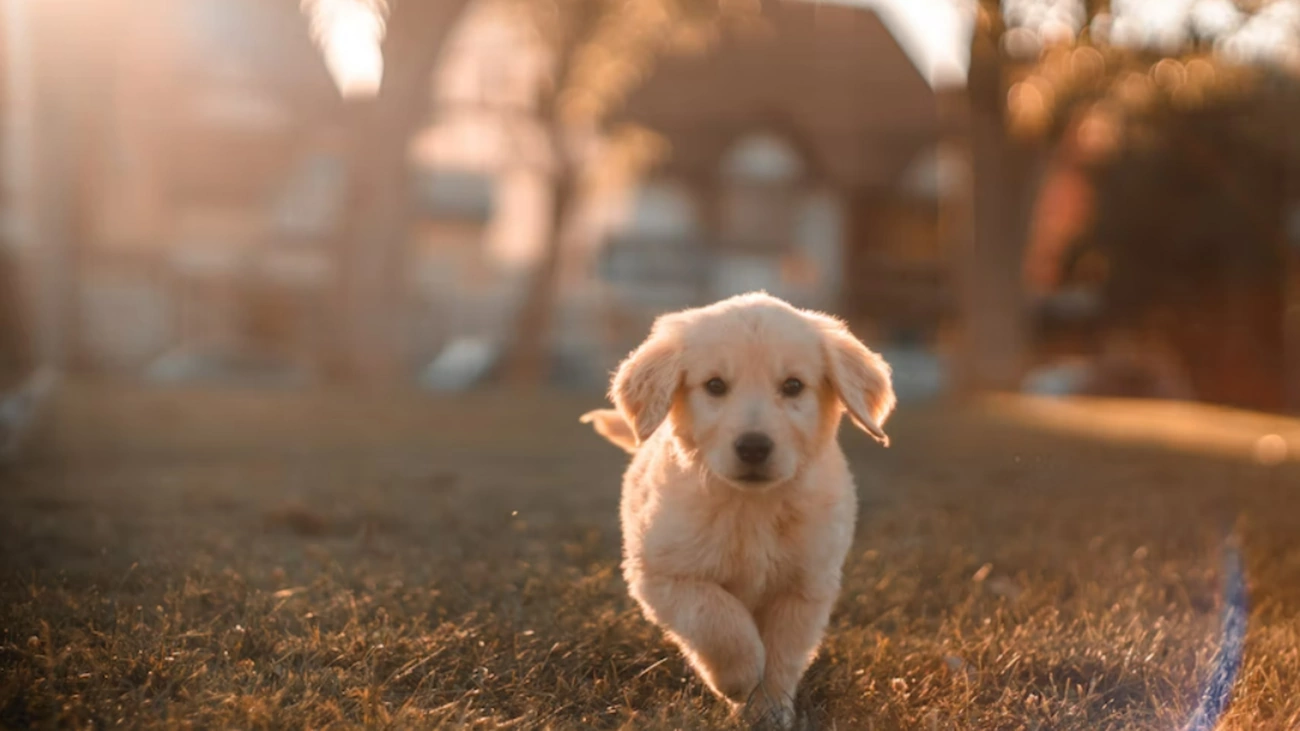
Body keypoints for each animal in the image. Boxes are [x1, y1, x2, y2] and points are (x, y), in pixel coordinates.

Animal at [582, 292, 894, 723]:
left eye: (793, 386)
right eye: (715, 385)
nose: (753, 447)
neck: (752, 506)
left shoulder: (805, 586)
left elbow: (782, 655)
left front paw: (768, 711)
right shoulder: (662, 574)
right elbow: (718, 618)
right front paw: (739, 677)